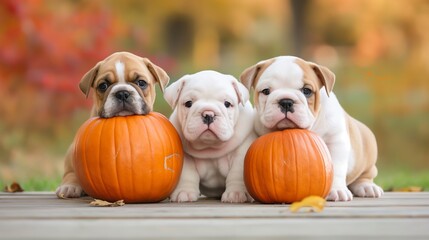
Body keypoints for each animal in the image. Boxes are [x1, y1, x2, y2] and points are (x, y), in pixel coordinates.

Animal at [164, 71, 256, 202]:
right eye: (188, 103)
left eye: (227, 104)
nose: (208, 114)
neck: (210, 146)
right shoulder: (185, 156)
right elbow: (187, 173)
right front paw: (184, 192)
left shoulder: (242, 151)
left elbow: (237, 172)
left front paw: (236, 193)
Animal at [239, 56, 382, 201]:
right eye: (266, 91)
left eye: (306, 91)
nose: (286, 102)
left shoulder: (336, 142)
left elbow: (336, 168)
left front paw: (336, 189)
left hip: (367, 150)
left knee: (365, 175)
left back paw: (367, 187)